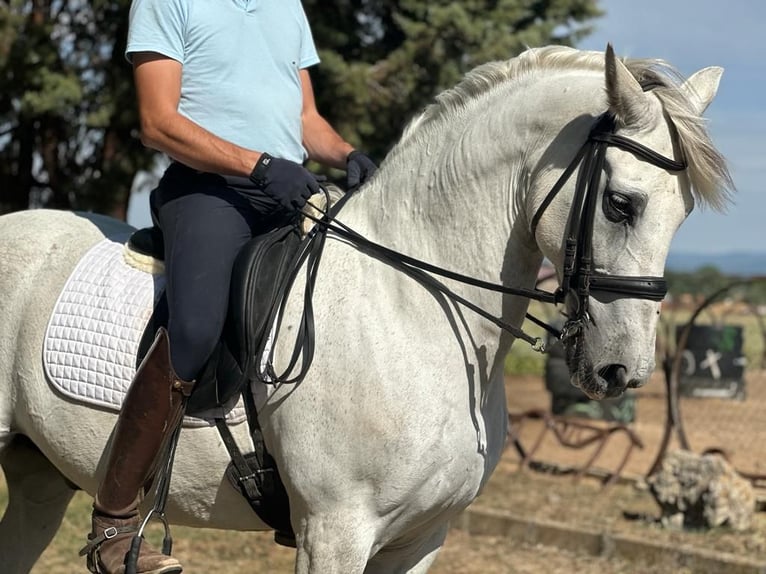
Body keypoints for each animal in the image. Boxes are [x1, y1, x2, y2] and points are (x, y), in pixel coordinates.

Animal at [0, 44, 732, 573]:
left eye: (683, 214)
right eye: (621, 203)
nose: (622, 371)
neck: (412, 310)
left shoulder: (421, 538)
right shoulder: (336, 532)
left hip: (39, 478)